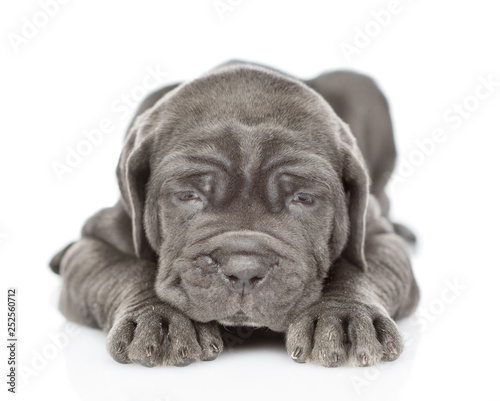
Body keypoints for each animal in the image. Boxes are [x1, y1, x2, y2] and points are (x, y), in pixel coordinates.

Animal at [49, 61, 418, 368]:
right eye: (189, 195)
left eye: (302, 198)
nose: (244, 269)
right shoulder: (96, 243)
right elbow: (128, 269)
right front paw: (159, 318)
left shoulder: (377, 238)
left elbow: (357, 269)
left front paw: (345, 315)